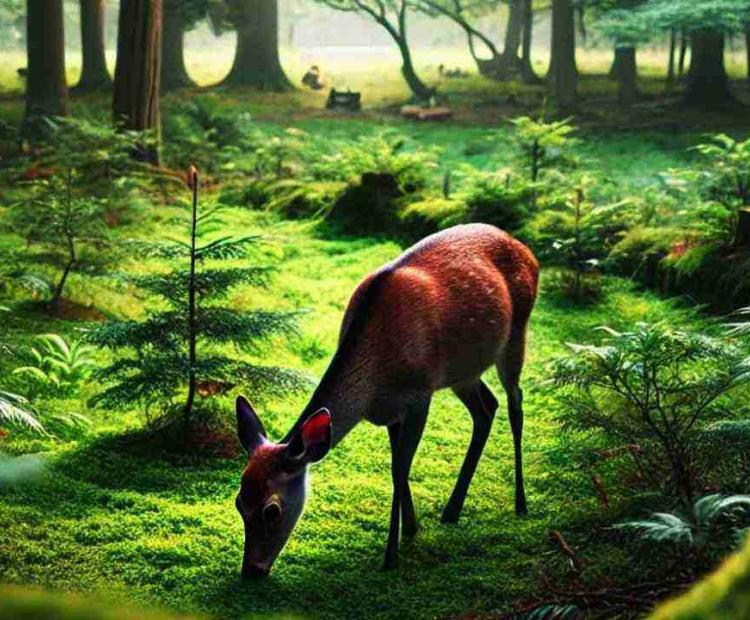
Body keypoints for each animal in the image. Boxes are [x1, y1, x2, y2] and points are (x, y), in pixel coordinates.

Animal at [235, 223, 539, 577]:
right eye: (239, 502)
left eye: (272, 510)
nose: (252, 570)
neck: (374, 387)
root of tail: (527, 251)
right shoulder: (392, 411)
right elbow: (398, 467)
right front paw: (411, 528)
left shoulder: (420, 395)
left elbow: (398, 469)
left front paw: (391, 555)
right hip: (464, 371)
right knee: (487, 408)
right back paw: (452, 508)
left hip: (516, 334)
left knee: (515, 403)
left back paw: (520, 502)